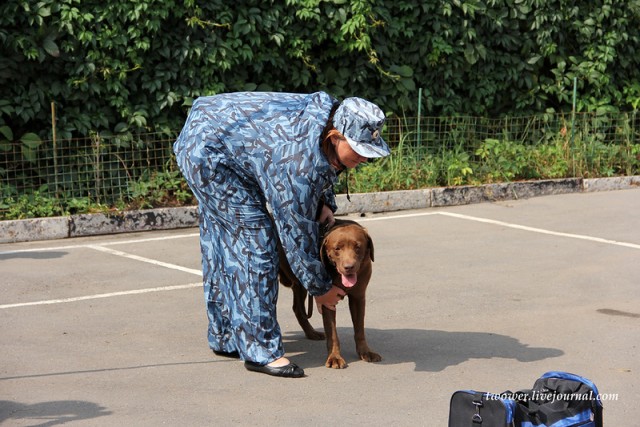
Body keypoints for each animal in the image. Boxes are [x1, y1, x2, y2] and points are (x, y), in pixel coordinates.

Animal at [278, 219, 380, 370]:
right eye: (337, 248)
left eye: (358, 246)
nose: (349, 267)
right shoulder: (327, 298)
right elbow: (332, 333)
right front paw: (334, 357)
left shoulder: (358, 297)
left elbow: (359, 328)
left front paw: (365, 351)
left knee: (297, 308)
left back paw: (311, 333)